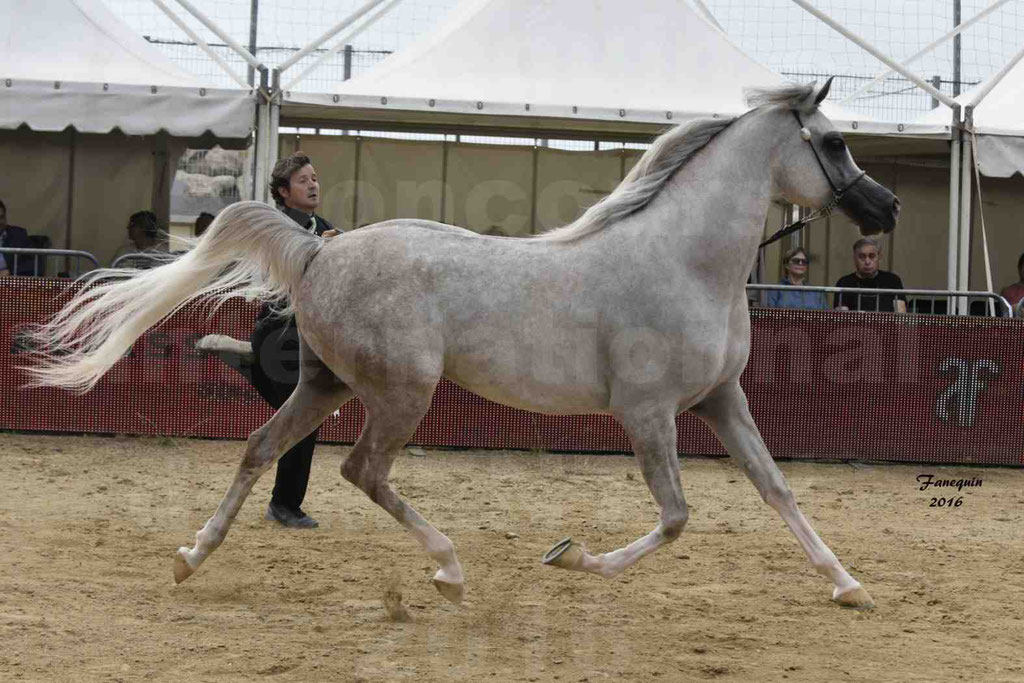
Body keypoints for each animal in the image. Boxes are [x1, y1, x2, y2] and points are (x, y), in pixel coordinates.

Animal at [25, 80, 897, 610]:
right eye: (834, 142)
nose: (884, 207)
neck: (684, 261)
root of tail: (318, 250)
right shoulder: (648, 412)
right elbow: (678, 516)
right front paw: (570, 557)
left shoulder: (721, 399)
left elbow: (778, 489)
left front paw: (849, 585)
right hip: (400, 391)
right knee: (359, 470)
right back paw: (447, 568)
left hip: (326, 384)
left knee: (260, 447)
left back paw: (191, 554)